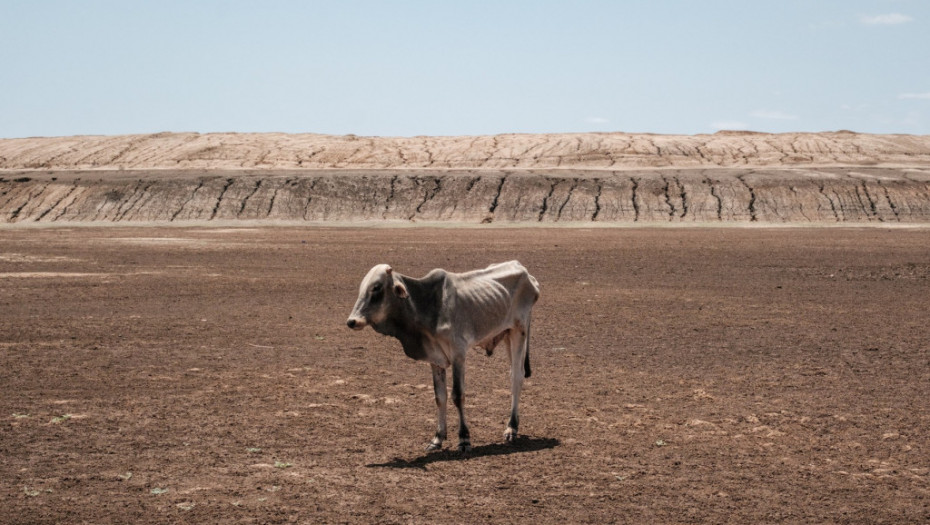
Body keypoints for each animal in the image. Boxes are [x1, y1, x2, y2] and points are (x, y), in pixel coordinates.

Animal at [346, 260, 536, 452]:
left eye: (376, 287)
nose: (352, 321)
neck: (427, 306)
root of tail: (524, 271)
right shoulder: (435, 359)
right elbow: (440, 397)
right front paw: (437, 438)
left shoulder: (458, 354)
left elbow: (458, 396)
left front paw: (464, 438)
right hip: (507, 334)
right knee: (513, 374)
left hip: (519, 331)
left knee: (517, 377)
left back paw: (512, 427)